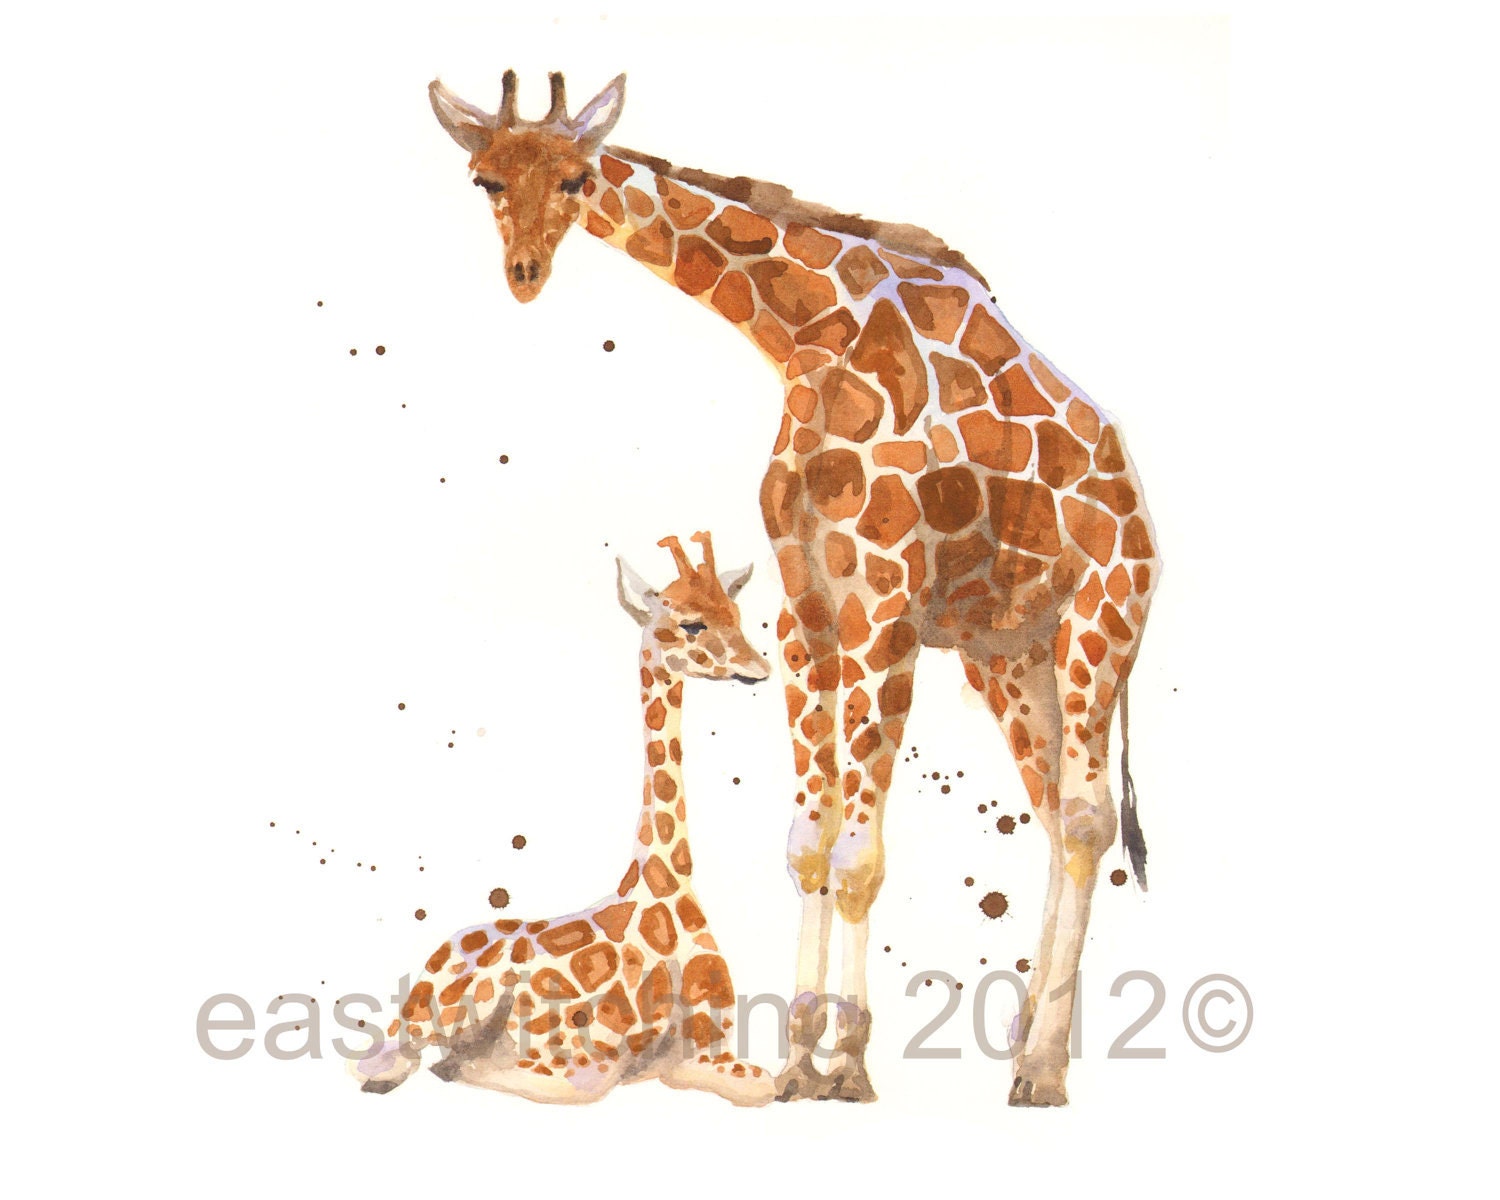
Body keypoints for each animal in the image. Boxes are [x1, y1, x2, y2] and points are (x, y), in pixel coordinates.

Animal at [353, 533, 776, 1106]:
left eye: (737, 614)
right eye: (691, 623)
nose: (759, 668)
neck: (667, 891)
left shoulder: (715, 1051)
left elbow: (760, 1080)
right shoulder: (580, 1061)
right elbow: (517, 1073)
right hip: (429, 1016)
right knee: (385, 1059)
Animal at [429, 71, 1160, 1107]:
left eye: (573, 176)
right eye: (485, 178)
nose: (524, 273)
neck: (810, 336)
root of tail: (1139, 503)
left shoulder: (887, 602)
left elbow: (857, 859)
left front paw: (847, 1063)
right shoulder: (809, 608)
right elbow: (807, 846)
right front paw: (796, 1061)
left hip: (1100, 619)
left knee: (1091, 822)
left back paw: (1044, 1070)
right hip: (1009, 653)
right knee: (1059, 817)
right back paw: (1025, 1050)